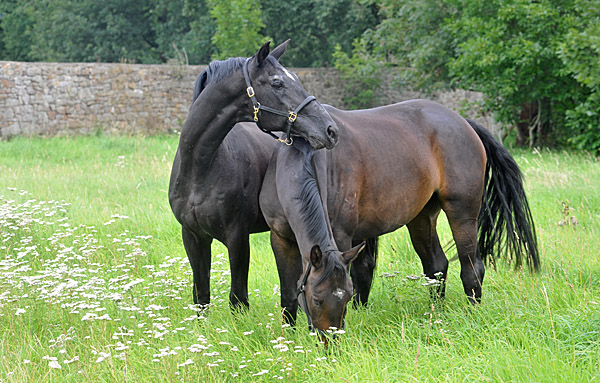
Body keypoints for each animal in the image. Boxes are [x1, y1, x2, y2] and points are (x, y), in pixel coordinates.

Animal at [169, 41, 340, 312]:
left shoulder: (237, 238)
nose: (330, 129)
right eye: (277, 83)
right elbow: (201, 297)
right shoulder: (193, 237)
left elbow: (238, 298)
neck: (200, 171)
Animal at [260, 100, 540, 338]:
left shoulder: (341, 237)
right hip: (421, 218)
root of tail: (463, 122)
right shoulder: (281, 239)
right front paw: (288, 337)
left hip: (462, 213)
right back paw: (435, 315)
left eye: (346, 297)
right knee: (436, 266)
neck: (304, 160)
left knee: (472, 269)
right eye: (317, 299)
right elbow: (288, 294)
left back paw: (473, 314)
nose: (330, 342)